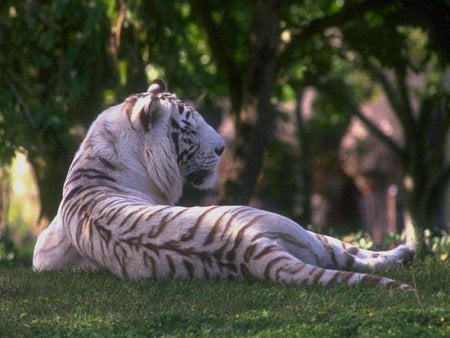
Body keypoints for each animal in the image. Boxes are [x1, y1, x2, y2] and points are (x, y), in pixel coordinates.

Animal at [33, 80, 416, 290]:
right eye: (190, 126)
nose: (222, 148)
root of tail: (245, 246)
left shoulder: (42, 253)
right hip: (293, 228)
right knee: (349, 253)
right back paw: (405, 252)